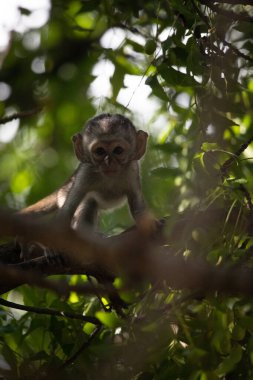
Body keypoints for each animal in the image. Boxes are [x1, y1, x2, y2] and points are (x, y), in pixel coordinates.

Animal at [17, 113, 155, 258]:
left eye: (118, 150)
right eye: (100, 151)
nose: (108, 162)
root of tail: (62, 188)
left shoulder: (132, 170)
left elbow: (136, 203)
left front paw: (149, 225)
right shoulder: (85, 172)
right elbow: (68, 209)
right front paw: (53, 245)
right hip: (64, 194)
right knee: (88, 203)